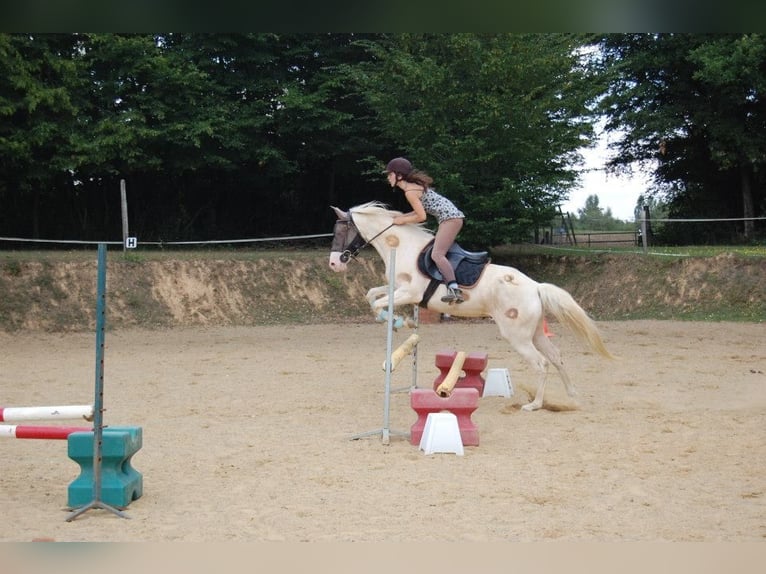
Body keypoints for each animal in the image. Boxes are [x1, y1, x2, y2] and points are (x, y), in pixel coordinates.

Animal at [328, 200, 616, 412]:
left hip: (518, 335)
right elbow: (371, 295)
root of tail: (535, 286)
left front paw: (400, 322)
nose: (333, 264)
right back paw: (571, 396)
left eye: (341, 232)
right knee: (556, 357)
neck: (401, 246)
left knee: (541, 363)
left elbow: (377, 304)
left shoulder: (409, 292)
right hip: (534, 333)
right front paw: (403, 322)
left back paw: (534, 404)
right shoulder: (396, 289)